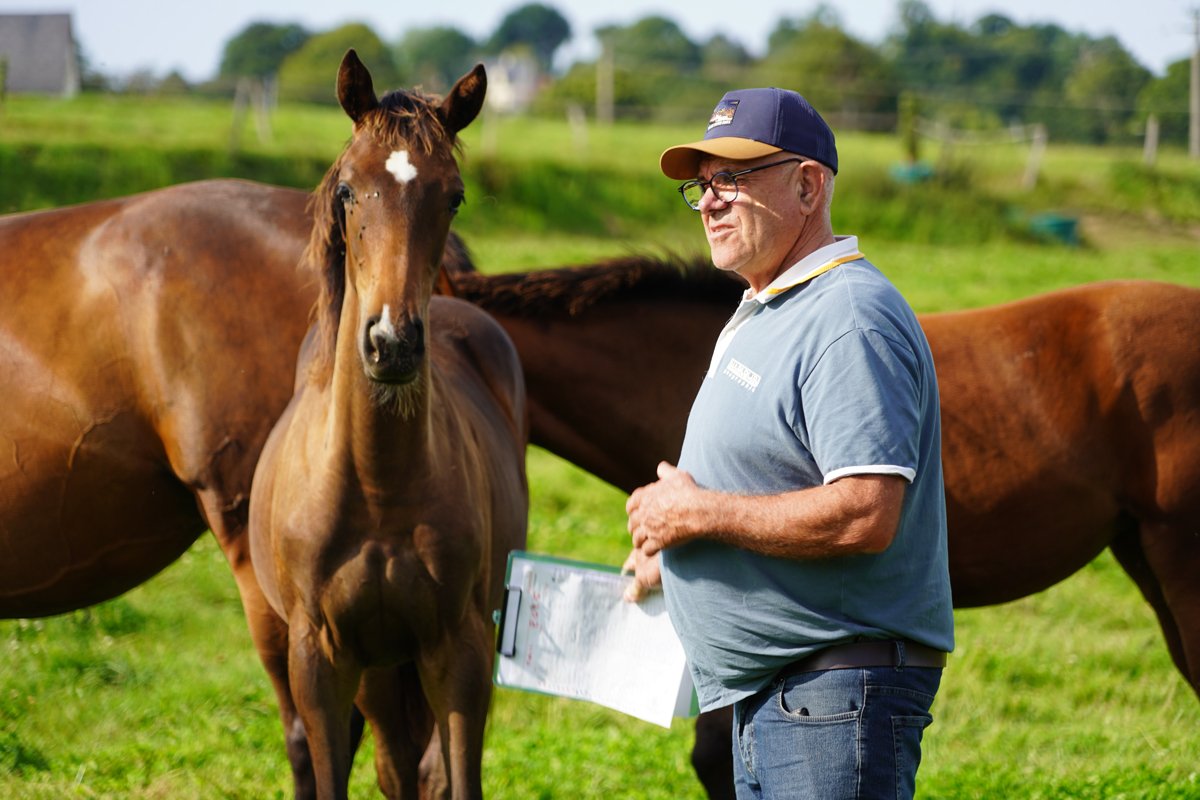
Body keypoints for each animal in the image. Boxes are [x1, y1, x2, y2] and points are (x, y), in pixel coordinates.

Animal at [247, 52, 527, 799]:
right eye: (348, 189)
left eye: (453, 195)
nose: (393, 343)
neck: (376, 484)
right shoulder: (321, 660)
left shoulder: (459, 651)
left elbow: (458, 777)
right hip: (374, 669)